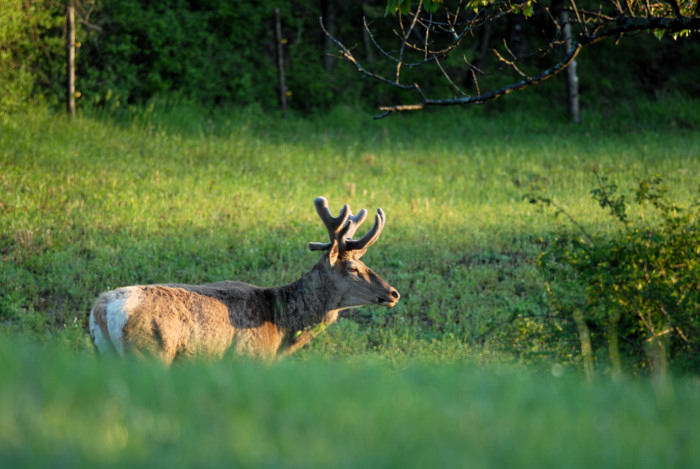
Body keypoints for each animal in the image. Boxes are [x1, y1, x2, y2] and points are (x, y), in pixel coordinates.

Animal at [87, 196, 400, 364]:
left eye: (364, 262)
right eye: (353, 268)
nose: (394, 293)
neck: (279, 329)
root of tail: (101, 309)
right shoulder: (247, 358)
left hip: (104, 353)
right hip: (148, 351)